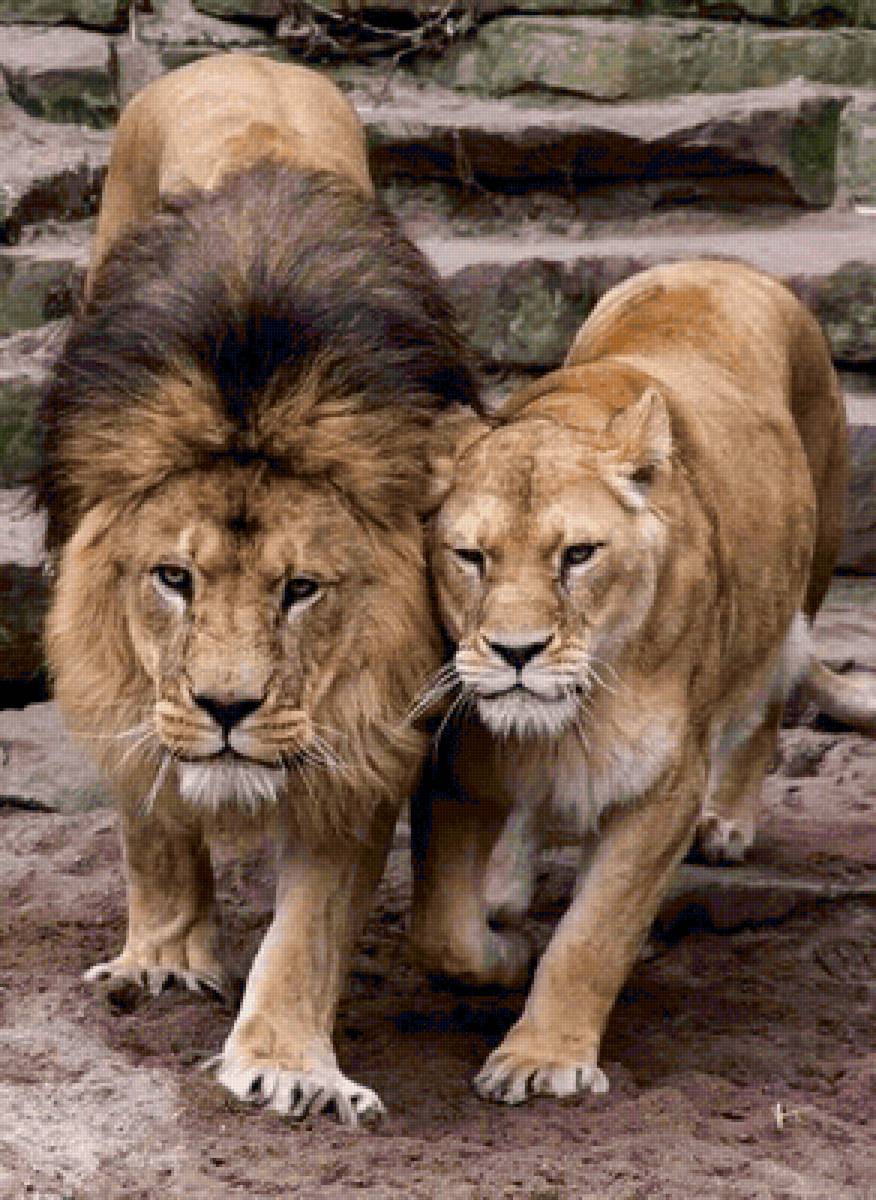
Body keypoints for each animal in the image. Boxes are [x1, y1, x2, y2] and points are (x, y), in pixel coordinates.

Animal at [37, 53, 478, 1125]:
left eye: (302, 590)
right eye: (174, 578)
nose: (227, 708)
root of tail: (245, 57)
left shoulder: (362, 728)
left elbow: (312, 923)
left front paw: (288, 1063)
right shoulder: (129, 682)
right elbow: (152, 817)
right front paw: (159, 963)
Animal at [412, 259, 876, 1107]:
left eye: (578, 555)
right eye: (471, 558)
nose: (517, 652)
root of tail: (715, 264)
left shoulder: (663, 785)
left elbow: (592, 936)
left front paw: (543, 1056)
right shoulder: (454, 768)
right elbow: (444, 933)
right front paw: (503, 950)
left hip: (803, 581)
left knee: (766, 700)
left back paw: (728, 823)